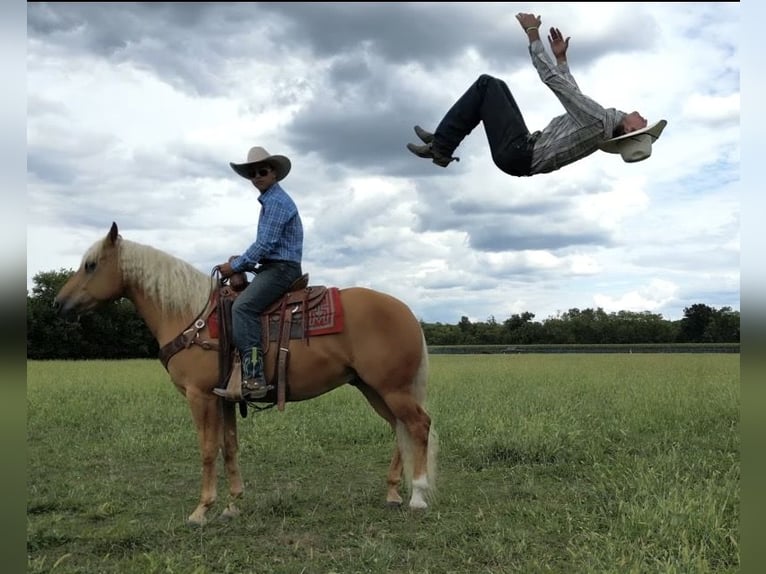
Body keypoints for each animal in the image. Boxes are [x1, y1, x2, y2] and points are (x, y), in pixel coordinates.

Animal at [53, 222, 437, 525]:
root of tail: (406, 311)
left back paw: (418, 496)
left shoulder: (201, 397)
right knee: (400, 429)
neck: (192, 316)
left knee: (418, 426)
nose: (58, 304)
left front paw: (201, 510)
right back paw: (392, 493)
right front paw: (232, 504)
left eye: (90, 265)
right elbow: (229, 447)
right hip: (373, 388)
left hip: (392, 389)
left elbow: (208, 449)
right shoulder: (224, 398)